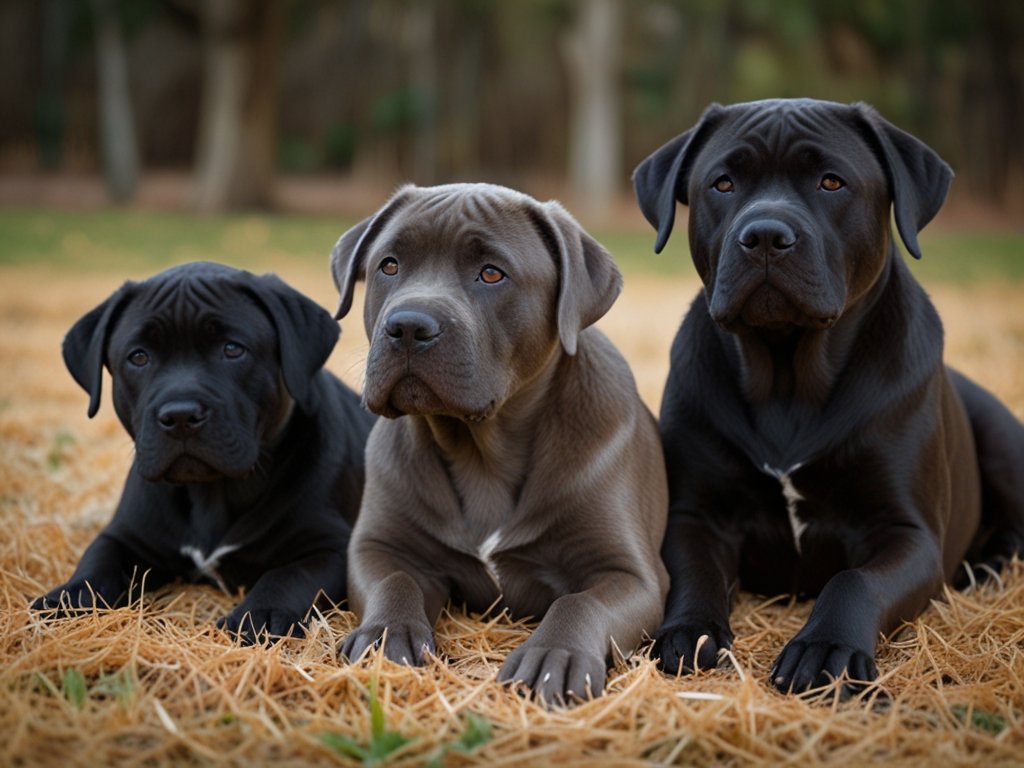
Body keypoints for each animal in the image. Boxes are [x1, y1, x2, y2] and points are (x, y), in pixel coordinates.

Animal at [30, 264, 376, 643]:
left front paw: (259, 615)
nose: (180, 415)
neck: (212, 493)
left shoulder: (332, 547)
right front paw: (67, 598)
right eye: (138, 357)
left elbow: (288, 576)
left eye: (232, 349)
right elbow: (97, 563)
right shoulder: (125, 536)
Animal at [327, 182, 663, 704]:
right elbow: (395, 582)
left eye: (491, 273)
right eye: (389, 265)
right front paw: (385, 636)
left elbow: (578, 603)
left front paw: (554, 656)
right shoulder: (378, 547)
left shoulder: (631, 574)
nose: (408, 326)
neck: (480, 448)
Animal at [630, 100, 1024, 696]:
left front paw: (824, 648)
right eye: (723, 183)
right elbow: (694, 574)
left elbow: (855, 581)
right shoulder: (697, 514)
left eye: (831, 182)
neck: (789, 381)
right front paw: (687, 633)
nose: (765, 235)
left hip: (1001, 436)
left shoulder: (907, 533)